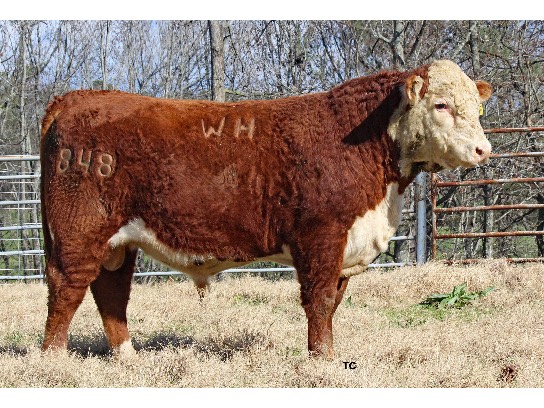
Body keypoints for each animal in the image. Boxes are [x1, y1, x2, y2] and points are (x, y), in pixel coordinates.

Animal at [40, 60, 492, 358]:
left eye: (477, 107)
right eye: (441, 105)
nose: (483, 149)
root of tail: (76, 98)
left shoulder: (344, 248)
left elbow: (334, 302)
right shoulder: (320, 237)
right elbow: (320, 301)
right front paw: (322, 363)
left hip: (118, 241)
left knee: (111, 291)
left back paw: (128, 357)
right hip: (79, 230)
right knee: (66, 288)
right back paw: (55, 360)